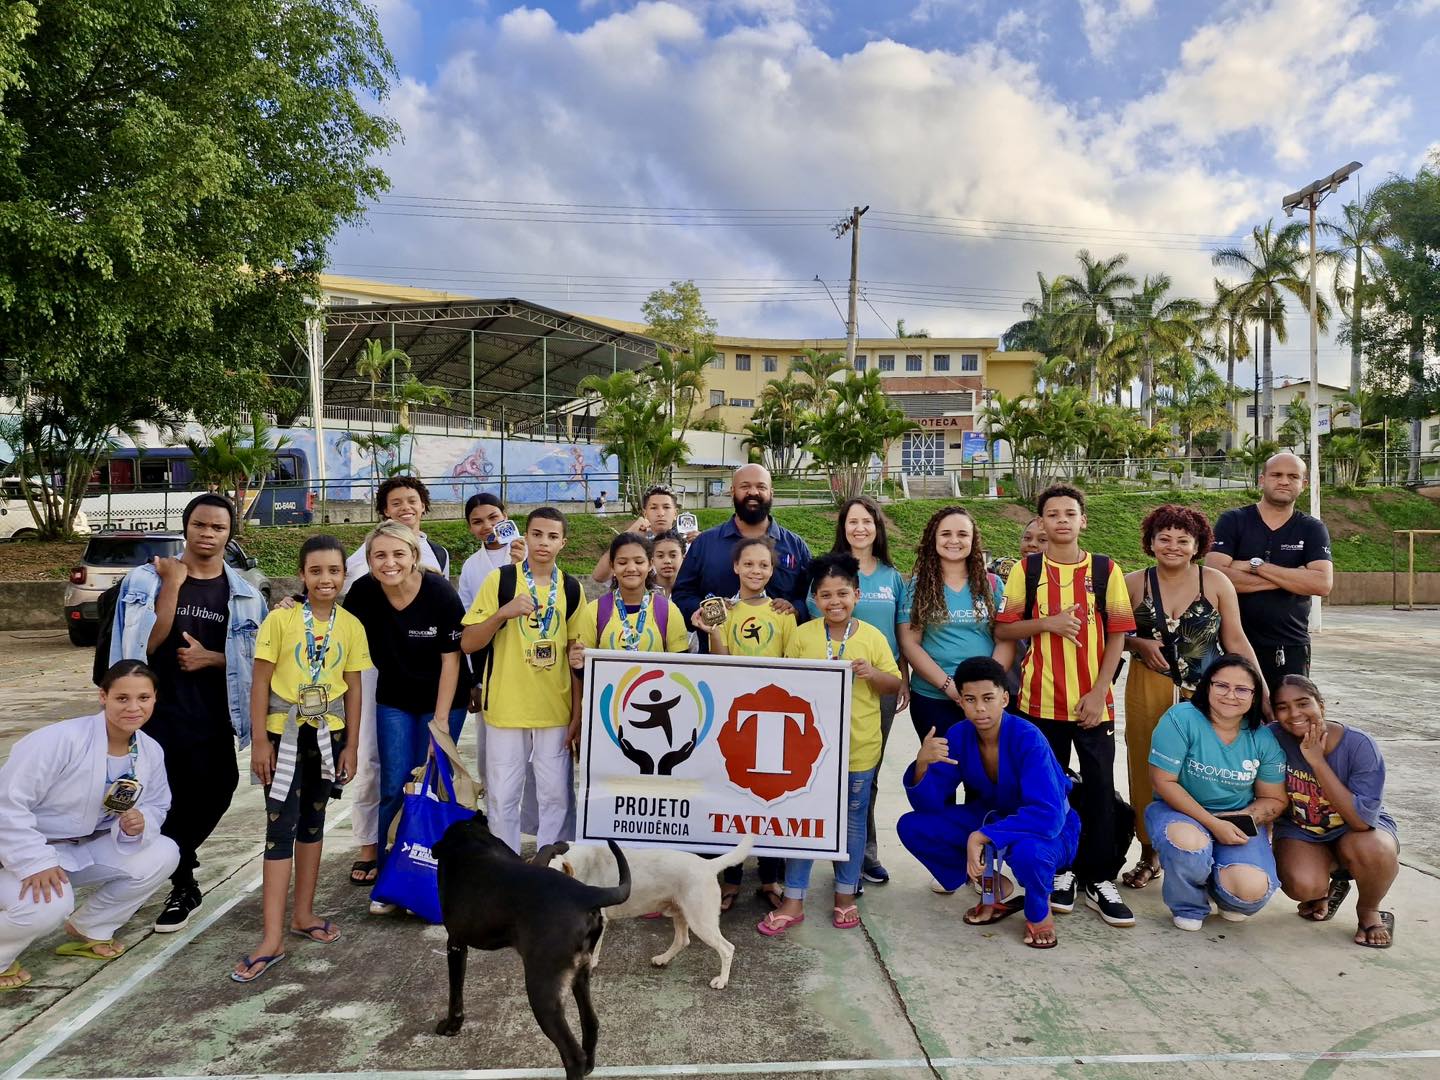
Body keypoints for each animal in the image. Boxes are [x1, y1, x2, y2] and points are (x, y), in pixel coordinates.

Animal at [429, 812, 627, 1080]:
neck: (472, 839)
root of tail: (586, 894)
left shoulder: (456, 944)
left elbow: (455, 993)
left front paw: (451, 1025)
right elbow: (545, 849)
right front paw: (560, 845)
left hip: (542, 991)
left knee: (572, 1055)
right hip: (580, 976)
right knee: (591, 1023)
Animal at [544, 835, 760, 990]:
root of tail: (708, 864)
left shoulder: (598, 920)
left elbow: (592, 950)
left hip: (701, 920)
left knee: (727, 948)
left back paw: (722, 980)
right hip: (681, 913)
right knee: (683, 941)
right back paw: (663, 959)